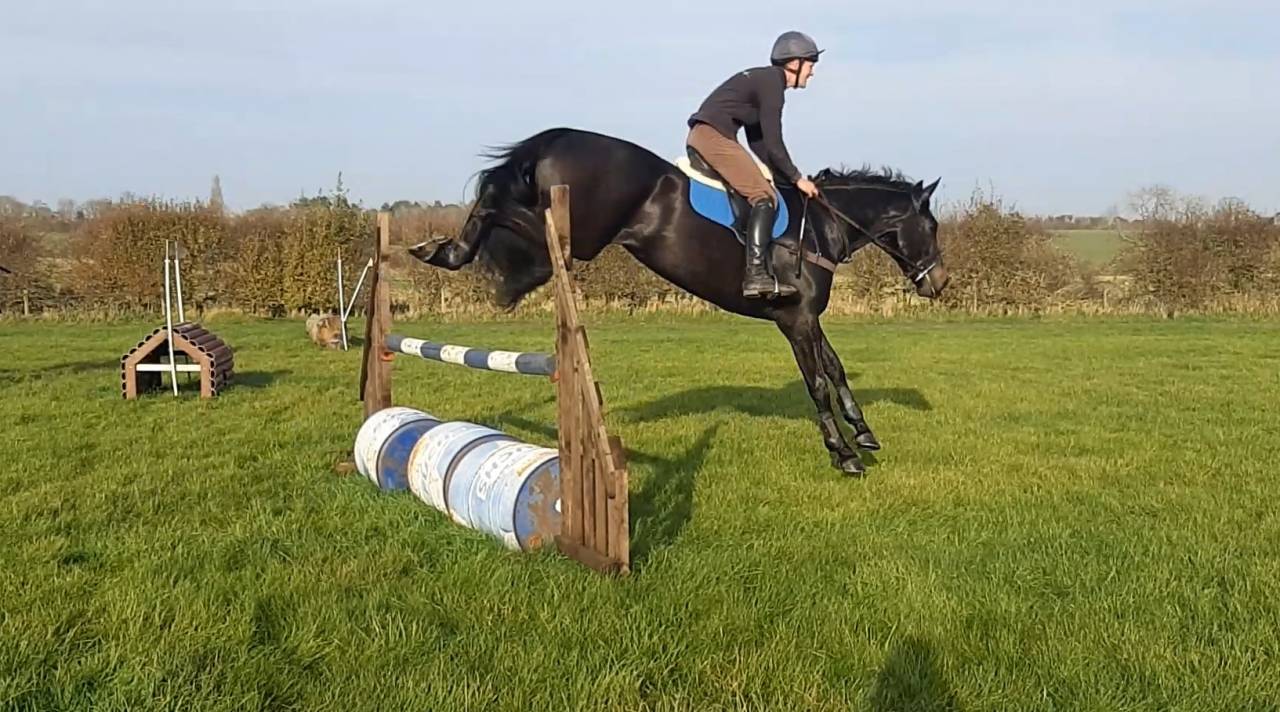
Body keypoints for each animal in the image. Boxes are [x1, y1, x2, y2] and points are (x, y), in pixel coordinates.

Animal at [409, 127, 948, 475]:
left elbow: (834, 369)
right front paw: (845, 454)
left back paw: (442, 250)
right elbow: (816, 382)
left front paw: (864, 433)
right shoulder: (795, 319)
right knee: (496, 206)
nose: (938, 282)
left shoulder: (807, 319)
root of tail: (556, 138)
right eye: (933, 225)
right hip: (578, 235)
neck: (820, 225)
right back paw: (445, 250)